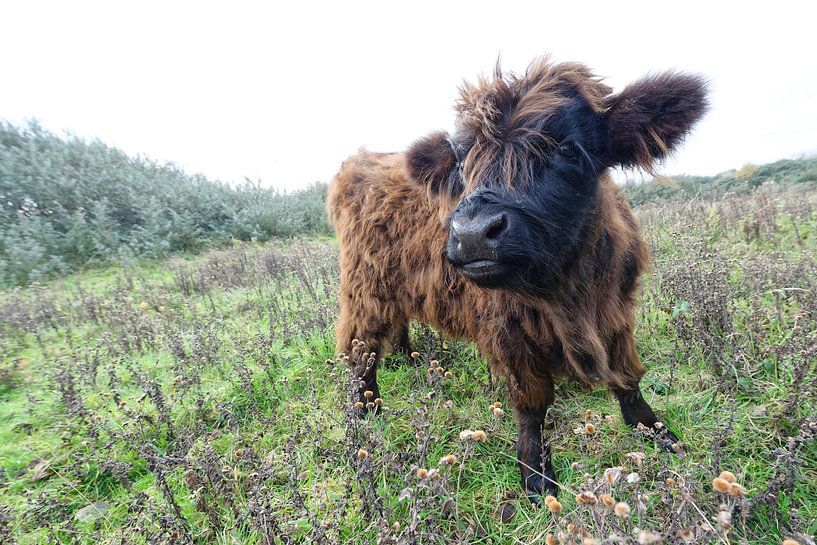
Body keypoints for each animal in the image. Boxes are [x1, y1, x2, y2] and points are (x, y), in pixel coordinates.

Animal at [326, 56, 708, 498]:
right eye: (463, 163)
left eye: (567, 148)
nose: (473, 233)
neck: (569, 291)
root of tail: (359, 160)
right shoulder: (508, 331)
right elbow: (532, 405)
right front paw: (536, 475)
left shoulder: (617, 309)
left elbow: (627, 376)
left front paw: (656, 431)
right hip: (365, 288)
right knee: (360, 348)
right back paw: (367, 409)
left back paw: (410, 358)